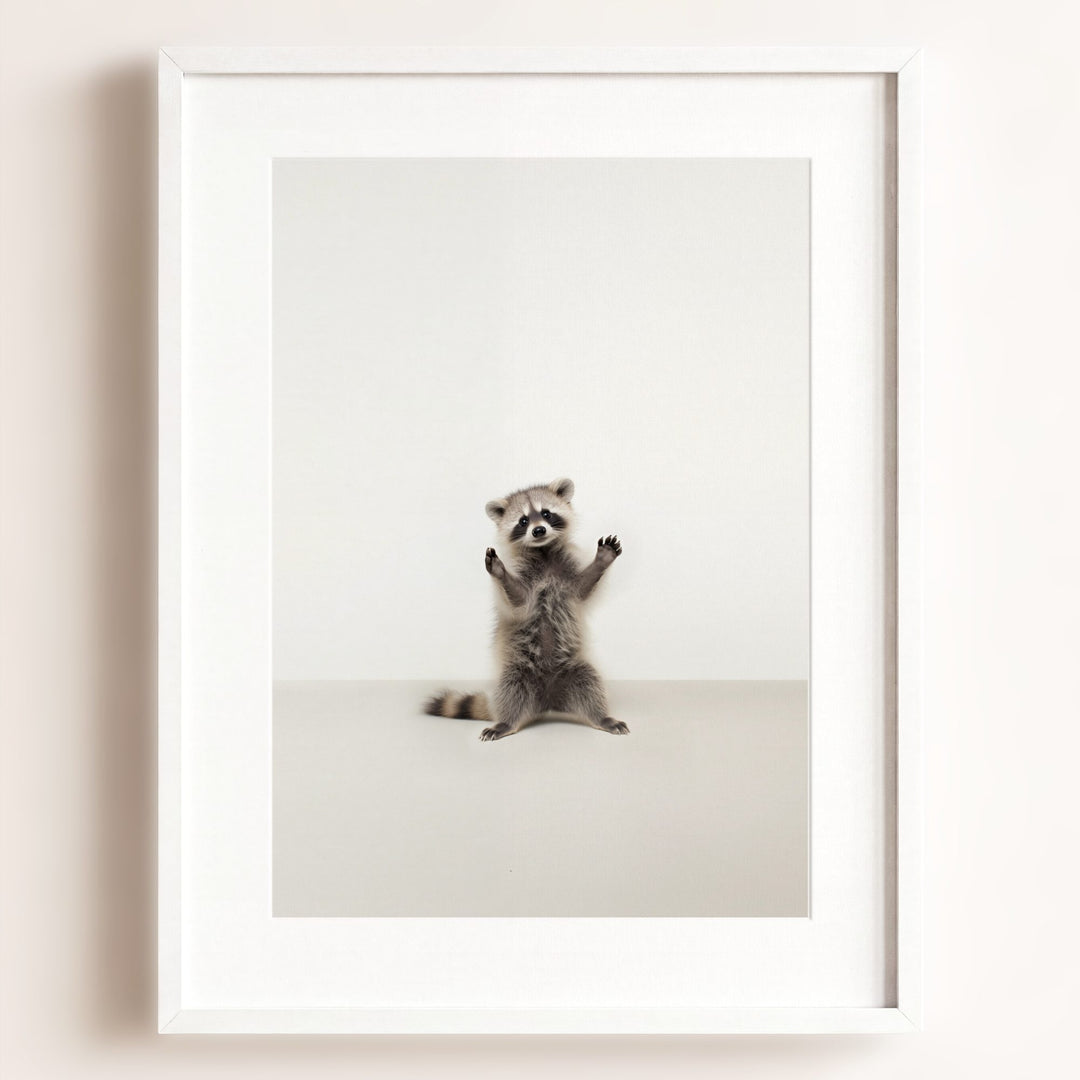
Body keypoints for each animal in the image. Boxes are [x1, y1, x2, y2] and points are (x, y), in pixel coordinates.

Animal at [423, 478, 628, 741]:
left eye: (546, 513)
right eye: (523, 521)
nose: (538, 530)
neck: (544, 551)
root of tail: (549, 702)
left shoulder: (566, 573)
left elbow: (583, 589)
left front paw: (601, 561)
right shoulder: (524, 577)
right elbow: (518, 601)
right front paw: (500, 573)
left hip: (574, 668)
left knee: (590, 682)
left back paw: (602, 717)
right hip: (517, 670)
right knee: (511, 690)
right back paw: (506, 722)